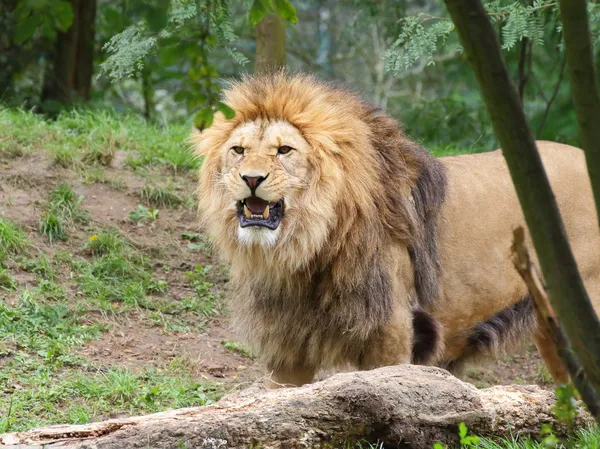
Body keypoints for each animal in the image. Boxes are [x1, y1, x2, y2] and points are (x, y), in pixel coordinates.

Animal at [193, 72, 600, 386]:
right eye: (238, 150)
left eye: (284, 151)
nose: (251, 179)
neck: (303, 250)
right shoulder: (287, 347)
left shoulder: (392, 331)